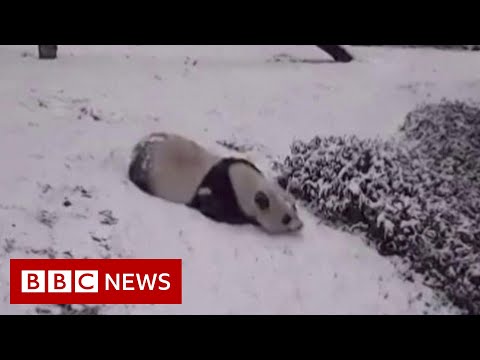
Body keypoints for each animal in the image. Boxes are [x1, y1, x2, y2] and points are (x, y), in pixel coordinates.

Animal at [127, 131, 304, 233]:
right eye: (286, 218)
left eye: (294, 206)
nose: (300, 225)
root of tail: (137, 150)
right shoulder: (221, 195)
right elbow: (219, 212)